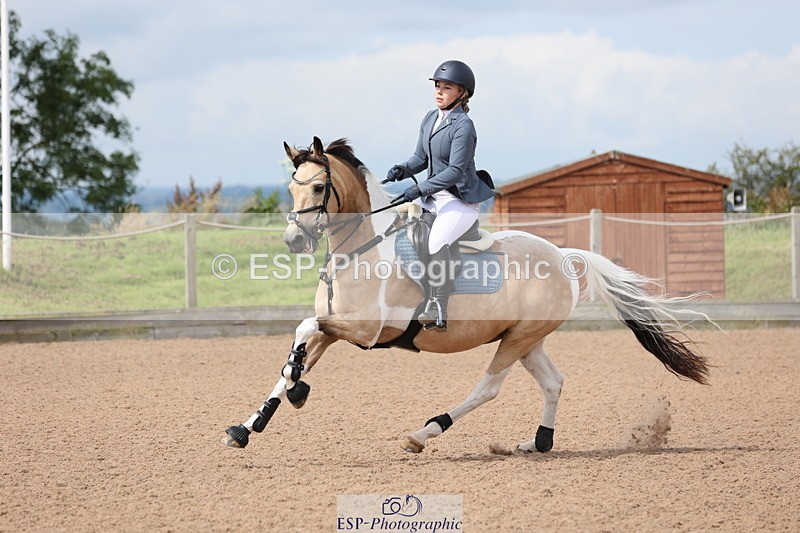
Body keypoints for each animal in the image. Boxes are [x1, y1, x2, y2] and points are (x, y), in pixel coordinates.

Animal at [221, 137, 710, 453]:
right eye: (291, 187)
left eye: (320, 187)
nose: (294, 241)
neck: (361, 248)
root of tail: (563, 256)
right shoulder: (333, 329)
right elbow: (293, 357)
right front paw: (251, 425)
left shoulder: (369, 329)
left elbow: (303, 331)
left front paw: (296, 392)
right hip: (527, 339)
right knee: (553, 382)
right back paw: (538, 443)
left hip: (517, 340)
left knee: (488, 388)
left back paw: (424, 433)